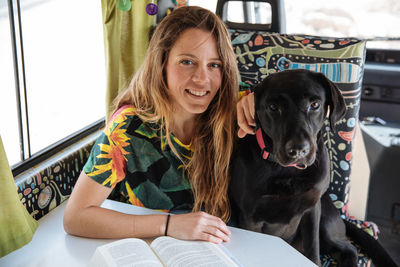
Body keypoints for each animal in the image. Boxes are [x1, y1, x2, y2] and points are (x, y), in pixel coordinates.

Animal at [231, 69, 396, 267]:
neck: (289, 171)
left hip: (325, 222)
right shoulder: (251, 217)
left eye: (315, 104)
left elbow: (312, 249)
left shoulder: (312, 210)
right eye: (273, 107)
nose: (298, 150)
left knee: (349, 248)